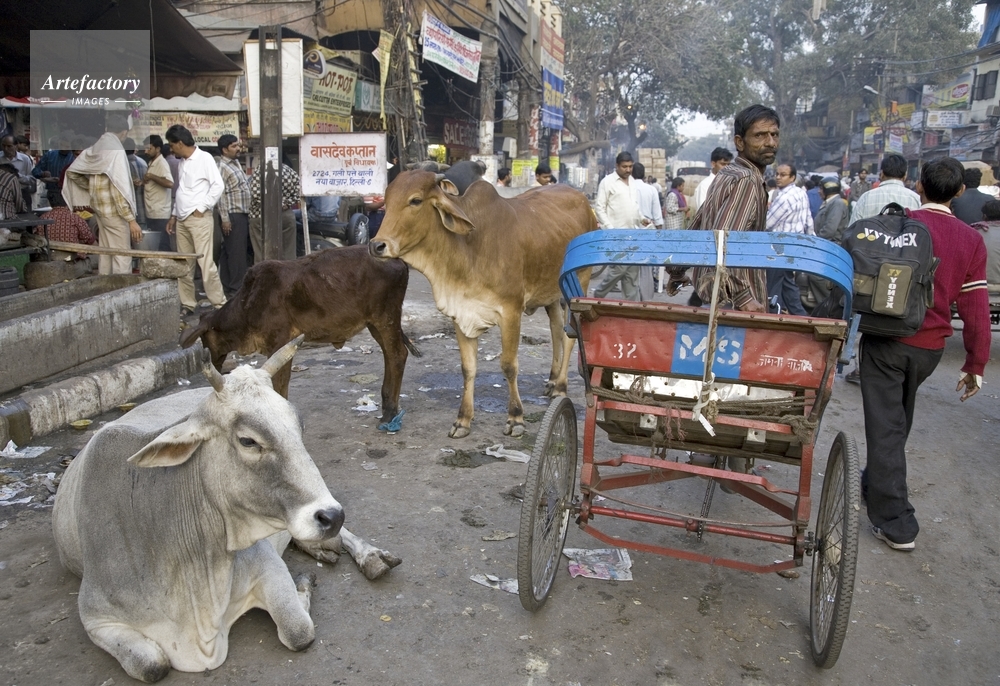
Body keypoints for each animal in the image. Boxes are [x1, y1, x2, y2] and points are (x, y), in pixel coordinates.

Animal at [51, 337, 402, 682]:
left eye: (298, 427)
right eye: (248, 441)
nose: (331, 516)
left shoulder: (266, 563)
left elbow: (298, 630)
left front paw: (304, 586)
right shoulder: (96, 618)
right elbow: (151, 665)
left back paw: (369, 556)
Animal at [179, 245, 420, 426]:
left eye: (204, 340)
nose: (214, 365)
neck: (246, 305)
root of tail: (399, 260)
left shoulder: (280, 342)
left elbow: (279, 385)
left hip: (385, 317)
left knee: (397, 354)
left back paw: (390, 412)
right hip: (375, 324)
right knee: (391, 355)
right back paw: (388, 407)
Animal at [369, 172, 596, 438]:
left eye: (415, 200)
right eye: (386, 200)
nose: (376, 245)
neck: (469, 247)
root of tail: (583, 200)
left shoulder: (511, 312)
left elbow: (509, 366)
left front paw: (515, 418)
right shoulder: (460, 314)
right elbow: (468, 368)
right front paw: (463, 420)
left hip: (578, 284)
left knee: (570, 336)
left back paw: (560, 386)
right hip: (550, 293)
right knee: (556, 329)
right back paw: (551, 380)